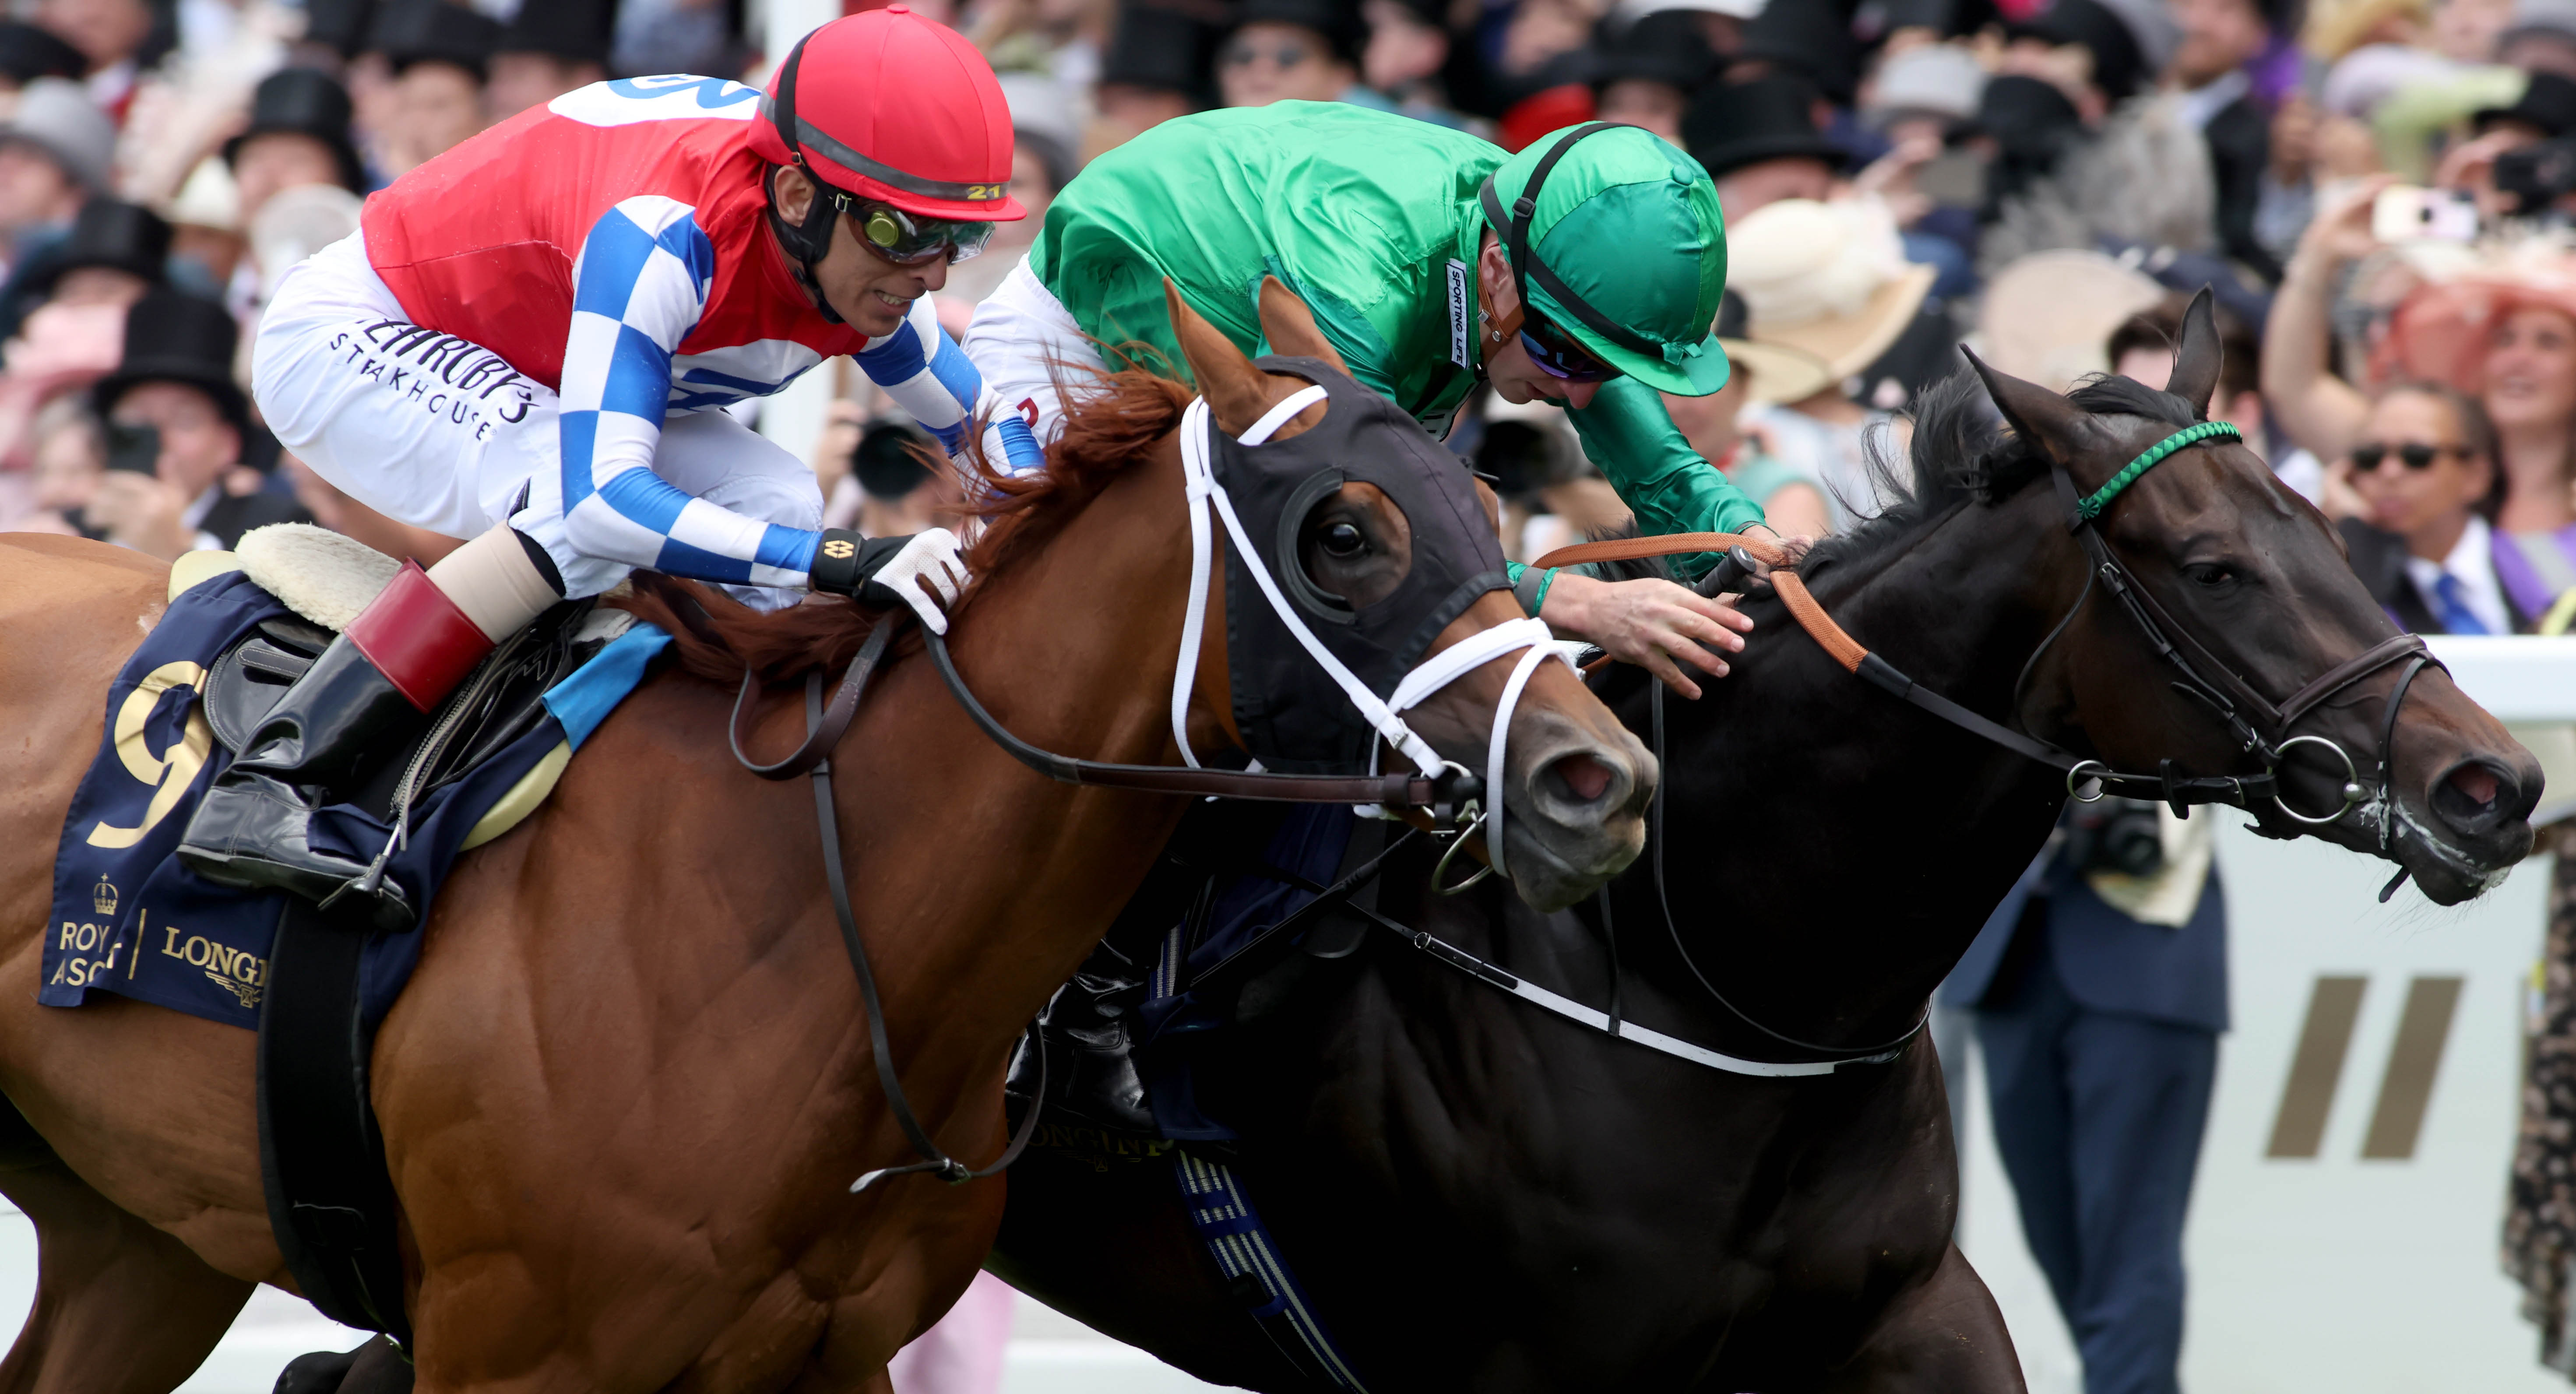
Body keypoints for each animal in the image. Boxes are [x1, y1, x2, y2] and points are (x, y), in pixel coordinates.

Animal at [0, 282, 1648, 1391]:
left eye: (1483, 501)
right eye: (1345, 533)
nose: (1599, 779)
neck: (793, 922)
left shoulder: (832, 1352)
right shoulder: (508, 1348)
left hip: (136, 1233)